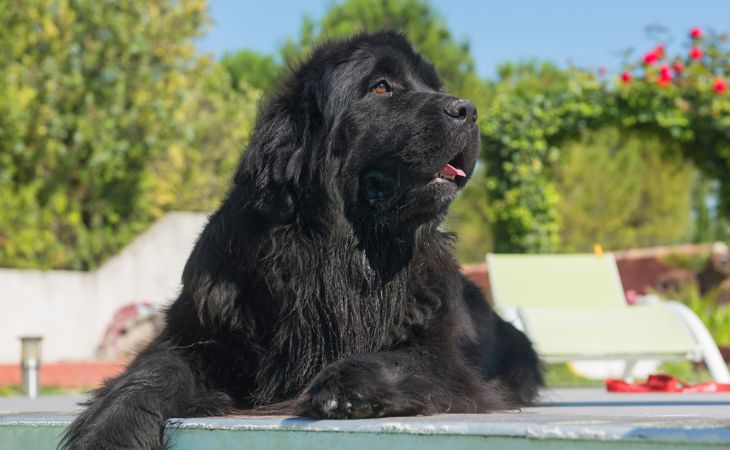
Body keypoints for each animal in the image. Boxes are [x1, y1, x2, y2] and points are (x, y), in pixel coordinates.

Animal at [61, 32, 540, 450]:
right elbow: (155, 368)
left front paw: (346, 384)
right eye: (382, 87)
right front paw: (111, 429)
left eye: (434, 87)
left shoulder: (445, 354)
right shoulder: (200, 328)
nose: (468, 110)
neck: (342, 252)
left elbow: (405, 357)